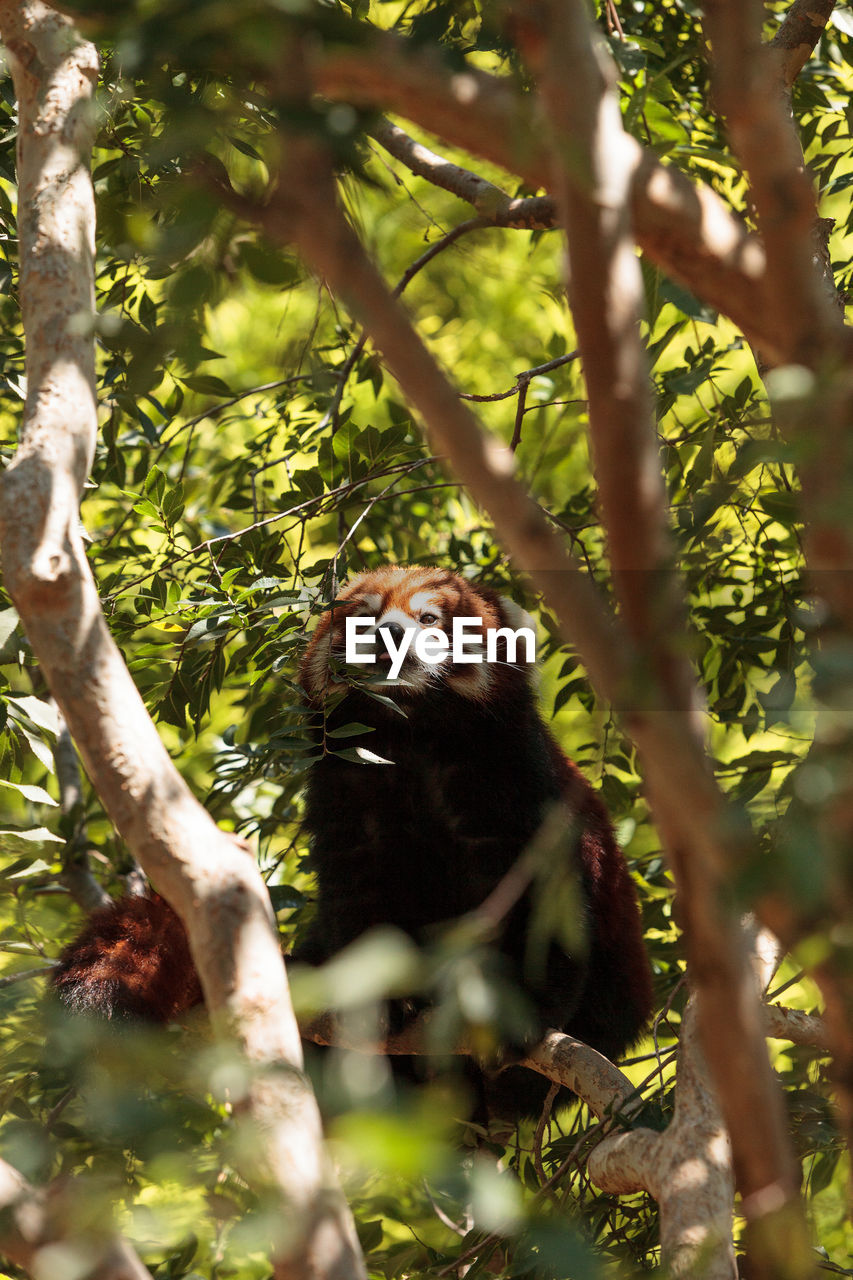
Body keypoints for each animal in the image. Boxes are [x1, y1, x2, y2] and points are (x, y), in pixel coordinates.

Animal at [53, 570, 650, 1121]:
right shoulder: (346, 787)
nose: (390, 633)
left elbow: (541, 899)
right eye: (363, 618)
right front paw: (383, 998)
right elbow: (359, 893)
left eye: (430, 618)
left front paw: (518, 1011)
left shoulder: (512, 776)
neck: (411, 737)